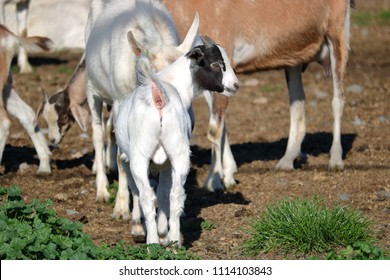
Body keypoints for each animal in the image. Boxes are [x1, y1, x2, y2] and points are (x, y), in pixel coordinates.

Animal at [115, 34, 238, 244]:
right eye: (215, 64)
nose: (235, 85)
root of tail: (159, 96)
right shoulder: (165, 162)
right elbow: (163, 192)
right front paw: (163, 232)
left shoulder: (127, 157)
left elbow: (139, 191)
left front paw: (141, 230)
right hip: (178, 151)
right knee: (176, 193)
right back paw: (173, 241)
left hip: (140, 154)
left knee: (147, 195)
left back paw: (153, 242)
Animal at [163, 0, 352, 190]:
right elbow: (221, 124)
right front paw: (229, 174)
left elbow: (214, 129)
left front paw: (214, 181)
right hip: (294, 60)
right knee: (297, 102)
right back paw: (286, 161)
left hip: (337, 34)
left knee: (337, 100)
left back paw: (335, 160)